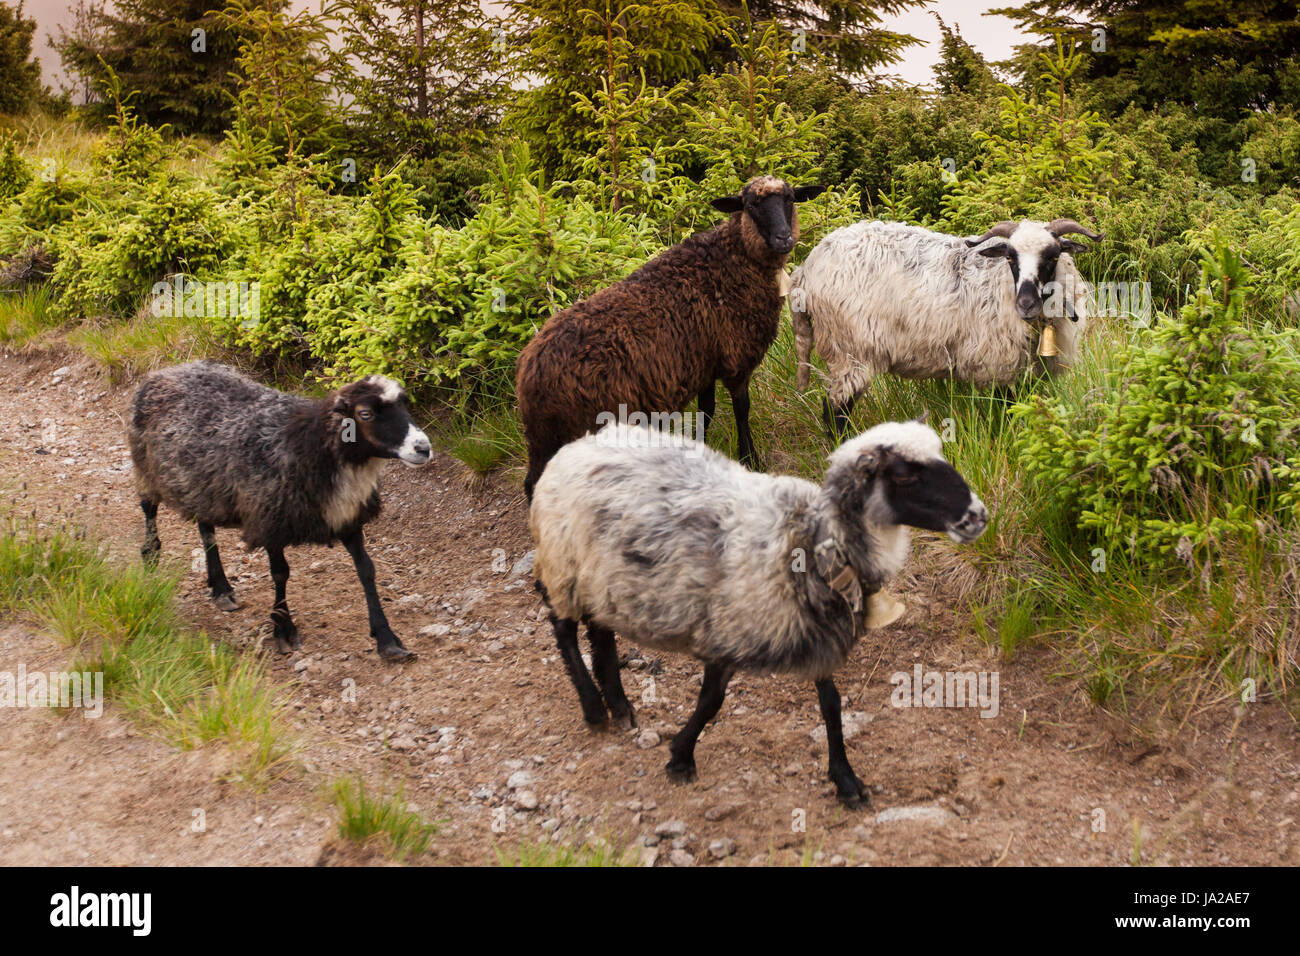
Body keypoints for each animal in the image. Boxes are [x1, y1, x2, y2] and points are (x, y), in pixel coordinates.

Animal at [127, 361, 431, 660]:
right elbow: (280, 574)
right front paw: (283, 629)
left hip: (202, 484)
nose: (423, 448)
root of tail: (169, 370)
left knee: (205, 527)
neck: (314, 449)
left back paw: (221, 587)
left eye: (405, 404)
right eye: (365, 414)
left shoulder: (348, 517)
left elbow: (366, 569)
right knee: (148, 508)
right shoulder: (269, 519)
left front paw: (387, 639)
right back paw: (150, 555)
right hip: (146, 465)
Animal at [514, 174, 826, 496]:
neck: (735, 260)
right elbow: (742, 410)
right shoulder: (736, 359)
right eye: (751, 205)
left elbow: (706, 411)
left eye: (789, 199)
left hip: (545, 436)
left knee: (532, 481)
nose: (783, 239)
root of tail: (530, 372)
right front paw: (750, 458)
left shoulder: (705, 364)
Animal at [527, 418, 982, 806]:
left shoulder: (814, 630)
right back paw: (594, 707)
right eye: (904, 476)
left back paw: (620, 705)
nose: (978, 515)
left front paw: (846, 780)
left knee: (600, 631)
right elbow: (711, 702)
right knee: (563, 629)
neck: (814, 538)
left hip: (602, 581)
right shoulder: (727, 629)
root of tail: (578, 443)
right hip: (563, 567)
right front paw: (680, 757)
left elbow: (831, 705)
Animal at [785, 218, 1102, 434]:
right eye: (1010, 257)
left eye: (1053, 256)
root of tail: (805, 272)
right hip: (849, 351)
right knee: (835, 412)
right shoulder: (1000, 365)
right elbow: (1009, 410)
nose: (1025, 304)